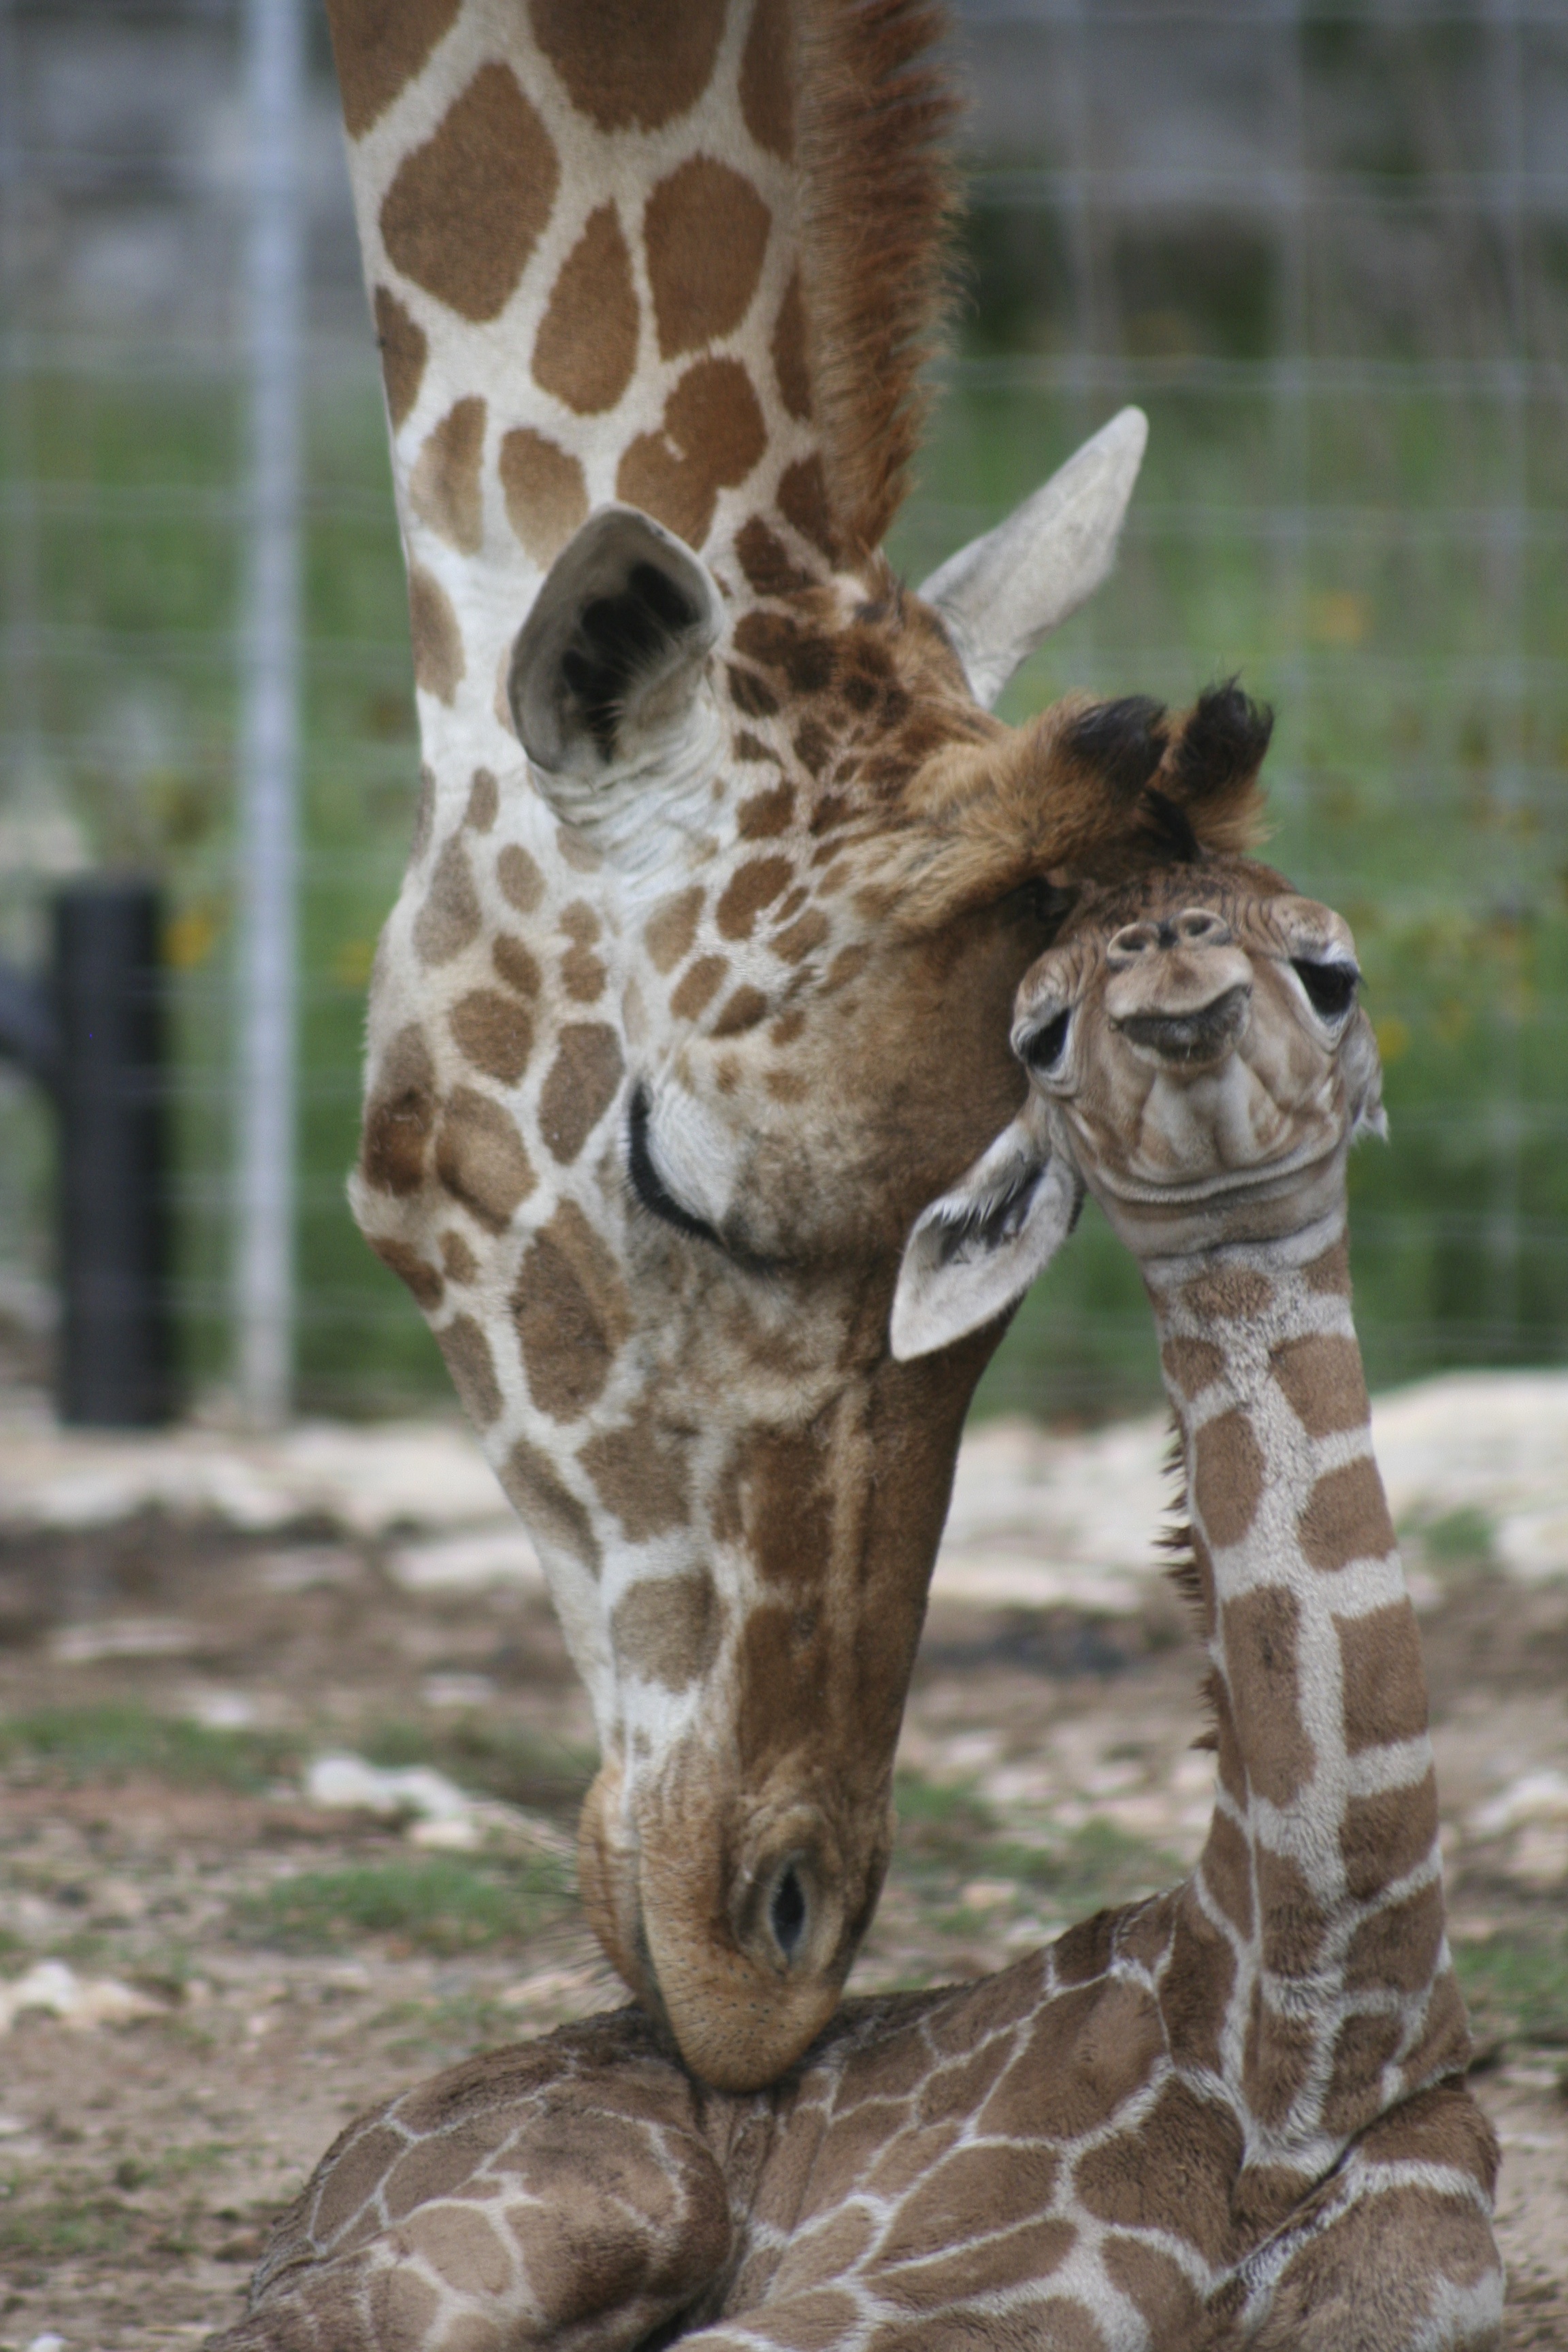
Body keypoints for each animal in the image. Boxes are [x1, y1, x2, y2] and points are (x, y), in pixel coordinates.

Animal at [210, 776, 1503, 2352]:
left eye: (1330, 971)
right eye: (1038, 1029)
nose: (1172, 971)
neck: (1305, 2048)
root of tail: (311, 2191)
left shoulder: (1419, 2286)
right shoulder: (900, 2289)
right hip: (613, 2201)